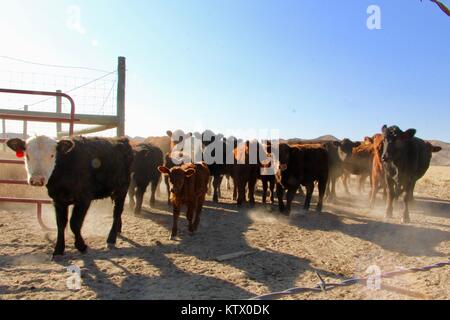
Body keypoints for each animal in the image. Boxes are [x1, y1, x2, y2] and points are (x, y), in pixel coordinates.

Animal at [6, 135, 134, 258]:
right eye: (27, 155)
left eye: (52, 155)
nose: (37, 180)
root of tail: (122, 139)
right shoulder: (58, 201)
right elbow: (60, 224)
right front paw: (58, 250)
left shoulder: (83, 199)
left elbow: (74, 224)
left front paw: (81, 246)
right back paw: (118, 230)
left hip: (122, 189)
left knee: (117, 212)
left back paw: (111, 239)